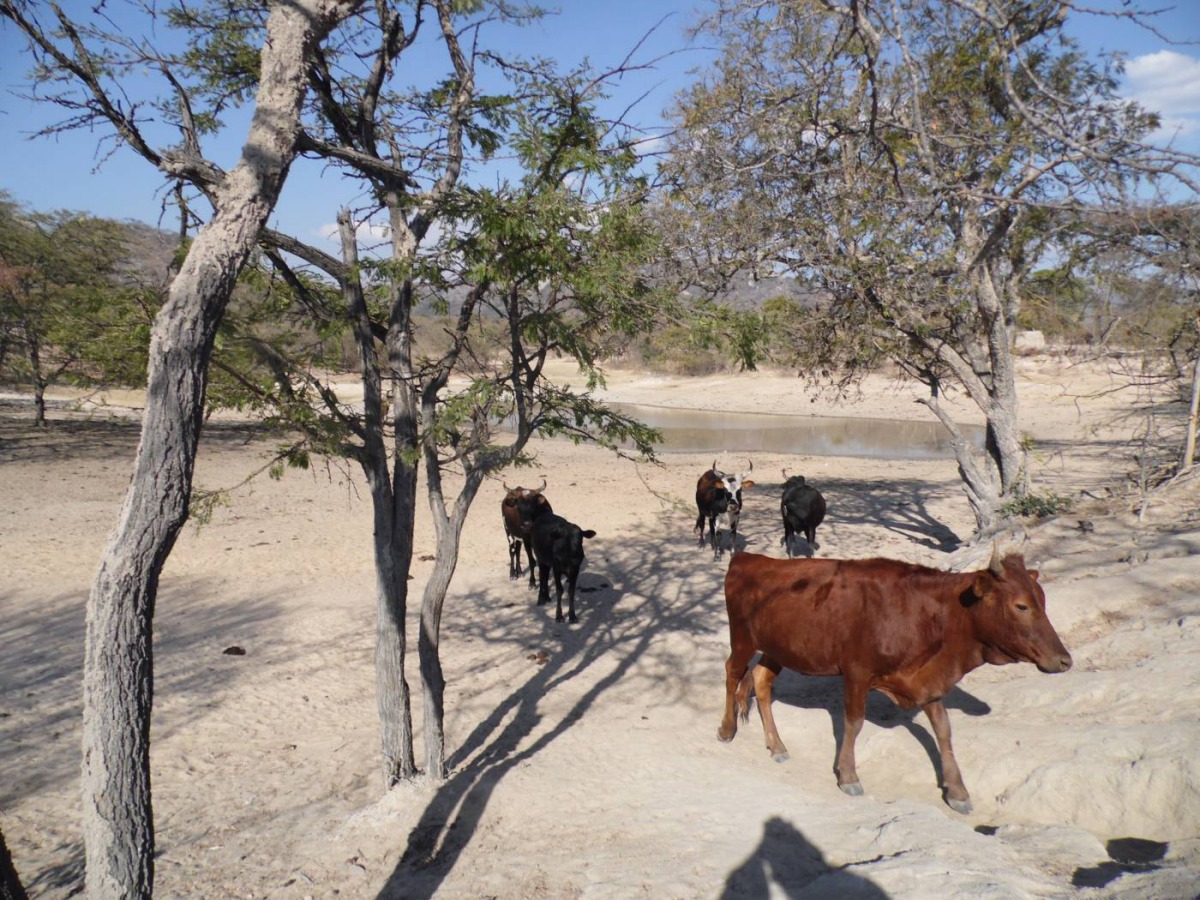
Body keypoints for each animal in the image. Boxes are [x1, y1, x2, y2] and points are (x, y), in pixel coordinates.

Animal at [718, 548, 1071, 814]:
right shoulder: (857, 673)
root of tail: (748, 558)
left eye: (1043, 600)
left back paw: (776, 745)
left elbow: (943, 730)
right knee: (732, 672)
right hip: (743, 639)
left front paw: (957, 791)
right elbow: (854, 723)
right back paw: (726, 728)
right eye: (1021, 605)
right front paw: (848, 775)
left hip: (778, 648)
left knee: (760, 681)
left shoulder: (926, 682)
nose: (1065, 660)